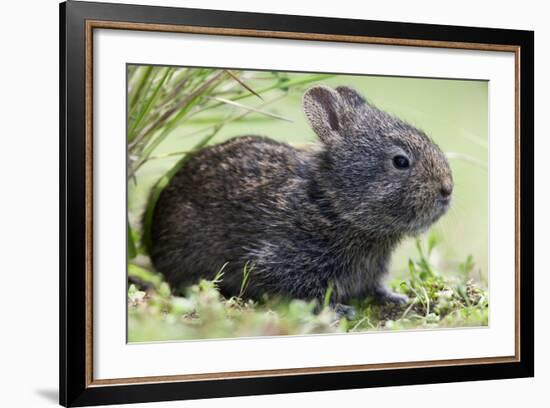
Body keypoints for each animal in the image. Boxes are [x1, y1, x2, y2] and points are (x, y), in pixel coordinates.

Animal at [149, 84, 454, 314]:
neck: (333, 204)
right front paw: (338, 310)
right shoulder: (283, 261)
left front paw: (395, 298)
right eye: (401, 161)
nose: (447, 190)